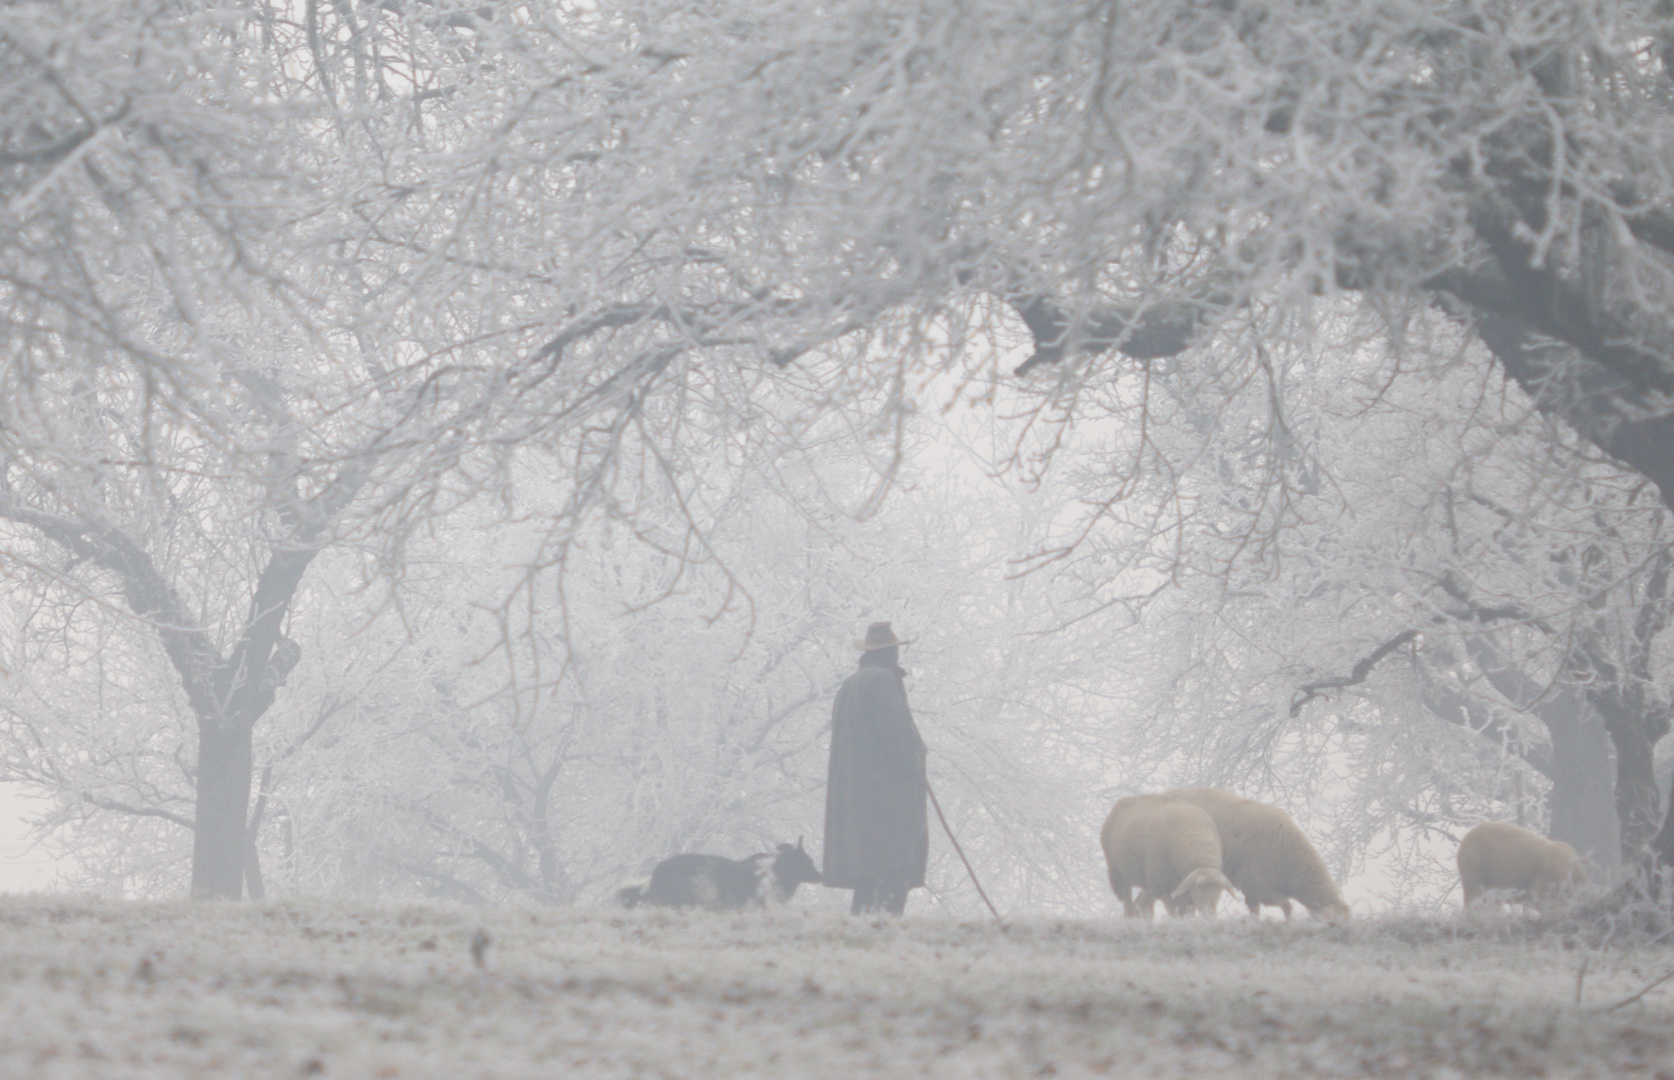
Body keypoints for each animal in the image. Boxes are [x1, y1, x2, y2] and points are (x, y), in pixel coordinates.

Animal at [1104, 790, 1238, 917]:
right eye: (1199, 886)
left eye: (1220, 890)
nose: (1209, 915)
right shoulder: (1161, 886)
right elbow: (1173, 911)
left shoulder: (1186, 890)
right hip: (1118, 874)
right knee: (1128, 902)